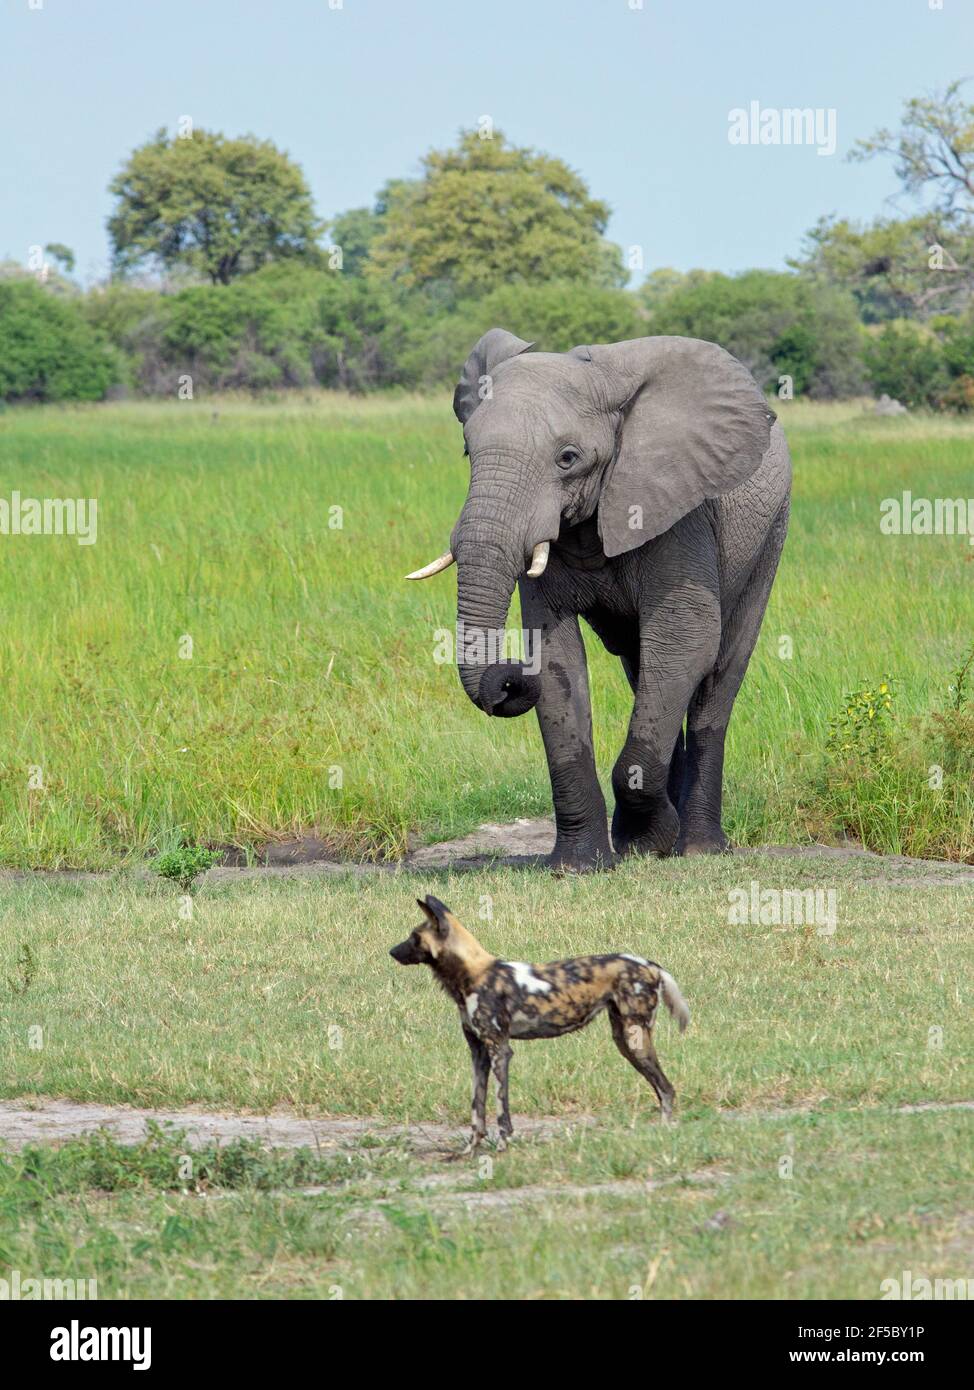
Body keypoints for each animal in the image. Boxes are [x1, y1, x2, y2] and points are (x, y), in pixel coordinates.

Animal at [386, 900, 683, 1150]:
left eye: (414, 937)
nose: (391, 951)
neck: (470, 974)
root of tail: (649, 964)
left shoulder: (499, 1051)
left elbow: (500, 1108)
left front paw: (503, 1146)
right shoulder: (479, 1054)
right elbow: (477, 1108)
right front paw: (471, 1150)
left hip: (635, 1040)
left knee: (667, 1089)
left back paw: (664, 1134)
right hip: (624, 1040)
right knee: (663, 1088)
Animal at [405, 328, 789, 867]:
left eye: (567, 458)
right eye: (466, 451)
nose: (506, 680)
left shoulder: (678, 507)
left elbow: (687, 638)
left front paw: (647, 840)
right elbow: (556, 660)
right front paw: (580, 865)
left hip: (770, 532)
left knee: (717, 673)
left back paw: (697, 848)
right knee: (645, 668)